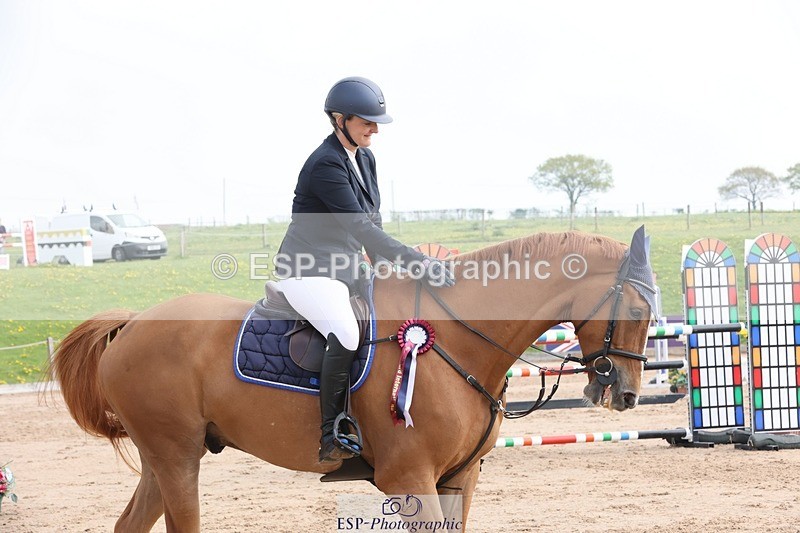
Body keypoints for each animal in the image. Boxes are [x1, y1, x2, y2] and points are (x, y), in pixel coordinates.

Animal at [51, 226, 656, 532]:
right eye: (636, 309)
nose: (625, 394)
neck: (456, 338)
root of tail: (132, 323)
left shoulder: (458, 480)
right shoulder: (410, 477)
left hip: (167, 457)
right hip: (176, 458)